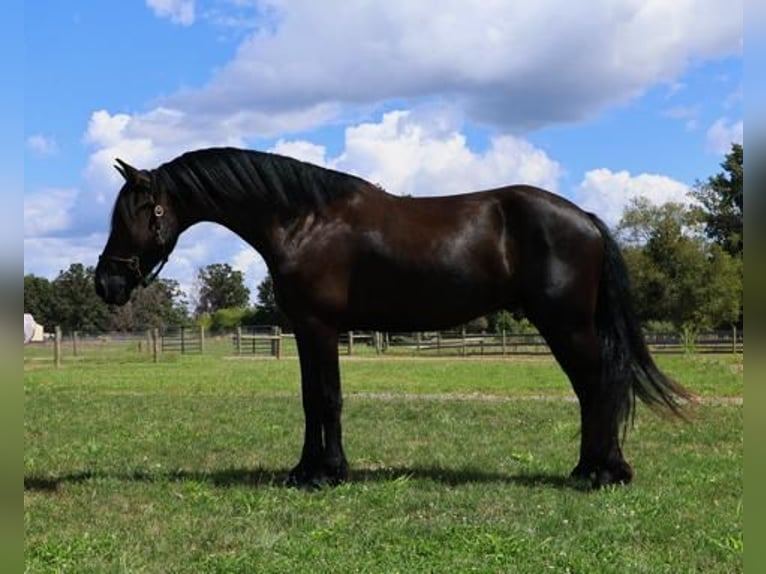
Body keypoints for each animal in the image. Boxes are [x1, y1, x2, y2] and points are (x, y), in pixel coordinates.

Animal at [95, 147, 690, 489]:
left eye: (136, 213)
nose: (106, 283)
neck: (304, 220)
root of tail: (584, 218)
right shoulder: (308, 331)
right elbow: (311, 399)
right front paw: (307, 469)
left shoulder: (319, 327)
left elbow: (326, 398)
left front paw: (327, 475)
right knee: (594, 388)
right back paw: (590, 468)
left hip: (565, 323)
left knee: (598, 385)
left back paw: (603, 473)